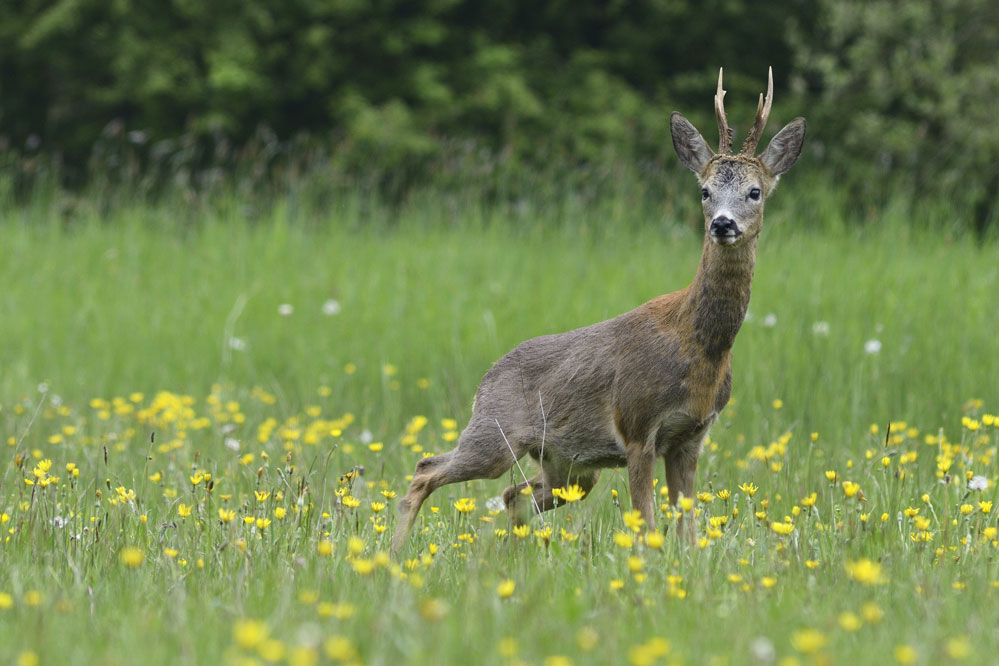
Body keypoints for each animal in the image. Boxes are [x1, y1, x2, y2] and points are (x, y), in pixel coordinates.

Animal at [390, 67, 804, 548]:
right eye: (704, 191)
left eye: (755, 192)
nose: (722, 224)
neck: (698, 348)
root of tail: (485, 380)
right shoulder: (637, 426)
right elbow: (647, 526)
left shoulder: (691, 437)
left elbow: (688, 531)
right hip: (495, 435)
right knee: (426, 469)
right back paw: (396, 553)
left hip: (569, 467)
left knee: (513, 495)